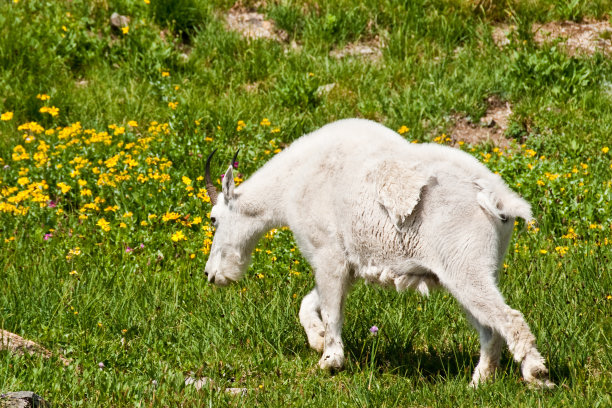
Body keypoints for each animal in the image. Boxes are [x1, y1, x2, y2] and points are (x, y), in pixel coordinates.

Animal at [202, 118, 556, 388]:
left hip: (465, 266)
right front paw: (317, 339)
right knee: (489, 328)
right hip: (474, 270)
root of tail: (497, 197)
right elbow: (309, 303)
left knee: (508, 318)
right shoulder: (347, 266)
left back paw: (536, 376)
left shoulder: (327, 254)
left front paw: (329, 360)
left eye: (213, 219)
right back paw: (478, 383)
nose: (211, 275)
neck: (293, 182)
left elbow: (331, 311)